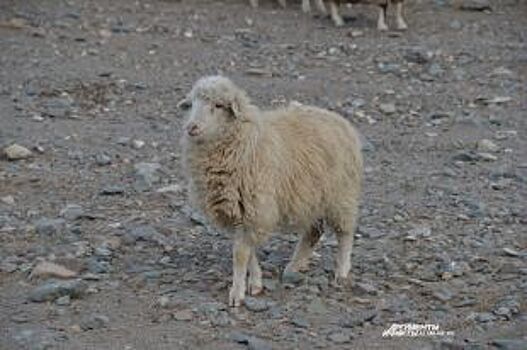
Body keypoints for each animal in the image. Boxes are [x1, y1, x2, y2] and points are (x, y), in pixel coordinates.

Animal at [180, 76, 364, 306]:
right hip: (313, 199)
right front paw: (255, 282)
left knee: (345, 233)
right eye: (191, 104)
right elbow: (249, 252)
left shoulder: (255, 208)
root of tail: (339, 119)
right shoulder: (240, 214)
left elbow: (240, 253)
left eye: (219, 105)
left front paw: (237, 293)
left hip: (341, 195)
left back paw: (342, 271)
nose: (191, 127)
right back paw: (294, 266)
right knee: (314, 231)